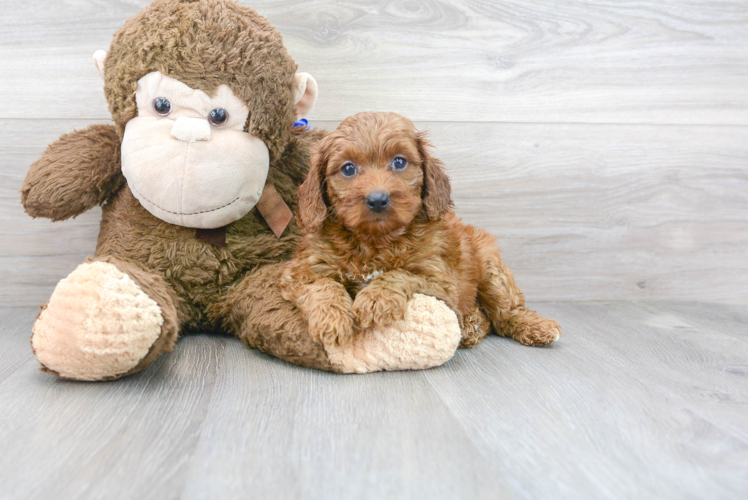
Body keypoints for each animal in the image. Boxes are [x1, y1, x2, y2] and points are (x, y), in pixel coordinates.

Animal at [282, 112, 560, 350]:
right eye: (348, 168)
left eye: (399, 162)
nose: (377, 199)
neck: (375, 240)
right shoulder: (299, 271)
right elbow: (322, 285)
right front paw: (332, 319)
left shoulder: (442, 283)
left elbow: (399, 274)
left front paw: (375, 300)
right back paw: (472, 326)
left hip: (490, 265)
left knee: (505, 312)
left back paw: (533, 326)